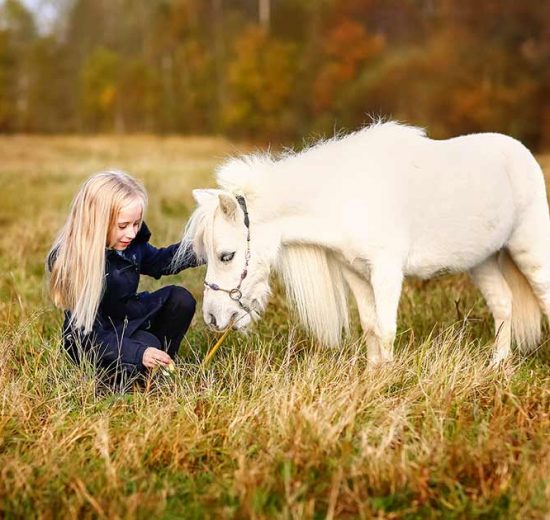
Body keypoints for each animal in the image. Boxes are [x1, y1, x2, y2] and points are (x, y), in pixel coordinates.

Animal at [178, 122, 550, 366]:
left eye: (227, 255)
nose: (212, 317)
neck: (347, 196)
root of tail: (520, 152)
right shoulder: (355, 274)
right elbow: (371, 328)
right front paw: (375, 378)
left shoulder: (386, 272)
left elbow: (386, 330)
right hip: (482, 261)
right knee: (503, 304)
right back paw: (498, 366)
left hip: (529, 250)